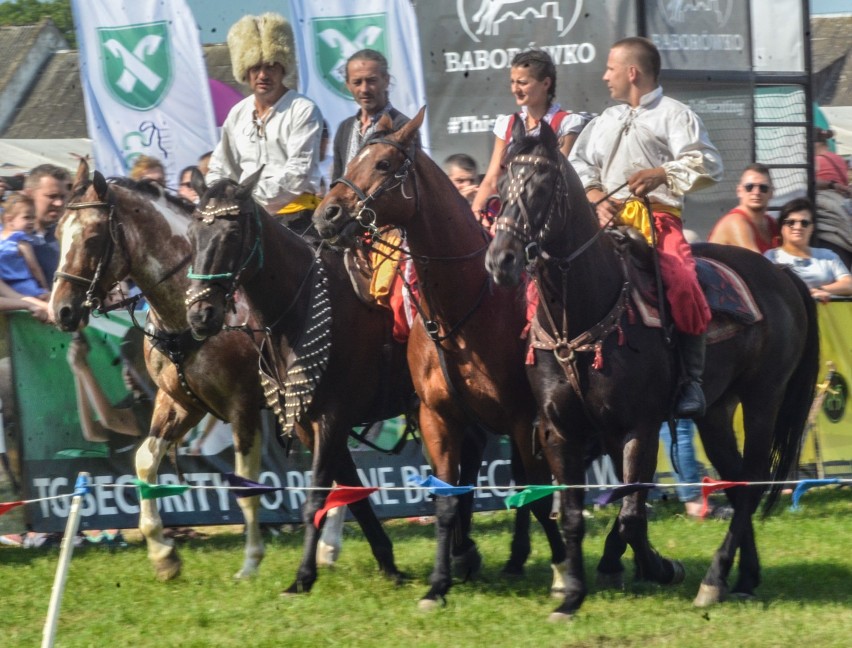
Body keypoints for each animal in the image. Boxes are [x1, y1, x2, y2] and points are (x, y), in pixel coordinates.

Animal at [51, 162, 264, 584]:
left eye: (94, 238)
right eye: (56, 233)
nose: (61, 310)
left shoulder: (243, 406)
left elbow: (246, 479)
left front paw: (252, 559)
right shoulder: (181, 402)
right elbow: (145, 461)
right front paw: (163, 552)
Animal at [185, 171, 414, 592]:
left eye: (232, 234)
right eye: (193, 234)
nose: (201, 315)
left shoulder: (332, 417)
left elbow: (317, 498)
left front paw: (303, 576)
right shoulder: (311, 423)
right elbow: (353, 494)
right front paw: (388, 563)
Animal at [312, 109, 564, 612]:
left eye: (384, 164)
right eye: (355, 158)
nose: (326, 215)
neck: (463, 308)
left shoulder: (523, 416)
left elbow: (537, 492)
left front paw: (562, 574)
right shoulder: (436, 417)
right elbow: (448, 499)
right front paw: (438, 583)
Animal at [482, 120, 816, 616]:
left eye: (541, 186)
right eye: (502, 186)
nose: (500, 261)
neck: (581, 316)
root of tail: (781, 274)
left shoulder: (637, 428)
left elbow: (631, 514)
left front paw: (652, 566)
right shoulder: (560, 431)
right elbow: (577, 515)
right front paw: (572, 592)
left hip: (762, 401)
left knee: (752, 483)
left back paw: (714, 578)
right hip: (716, 414)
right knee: (737, 483)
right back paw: (743, 577)